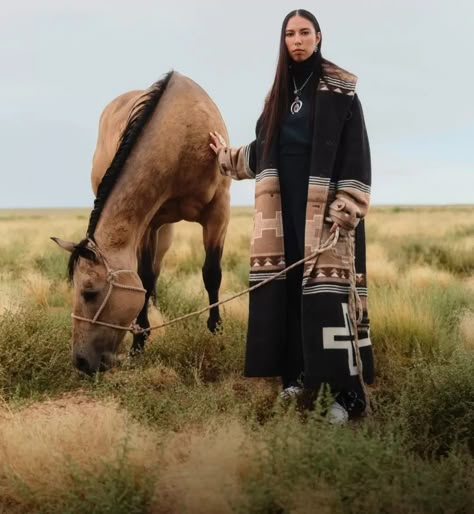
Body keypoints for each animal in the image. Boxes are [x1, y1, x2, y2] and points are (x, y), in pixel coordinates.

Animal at [52, 71, 231, 372]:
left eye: (89, 293)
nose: (80, 361)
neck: (183, 136)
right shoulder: (149, 223)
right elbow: (145, 278)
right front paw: (139, 342)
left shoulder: (219, 211)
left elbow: (211, 273)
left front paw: (216, 330)